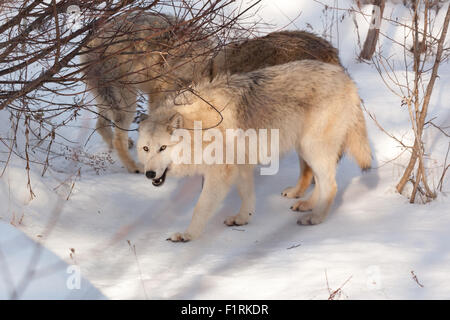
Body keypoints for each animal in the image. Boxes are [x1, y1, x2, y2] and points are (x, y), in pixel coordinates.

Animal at [138, 60, 372, 241]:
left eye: (163, 148)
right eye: (146, 148)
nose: (149, 173)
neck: (199, 127)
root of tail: (347, 79)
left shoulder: (221, 173)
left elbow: (200, 207)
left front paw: (187, 235)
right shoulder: (241, 164)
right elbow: (247, 196)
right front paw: (242, 218)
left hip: (312, 148)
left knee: (331, 185)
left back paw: (315, 218)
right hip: (305, 148)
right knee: (319, 180)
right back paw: (305, 203)